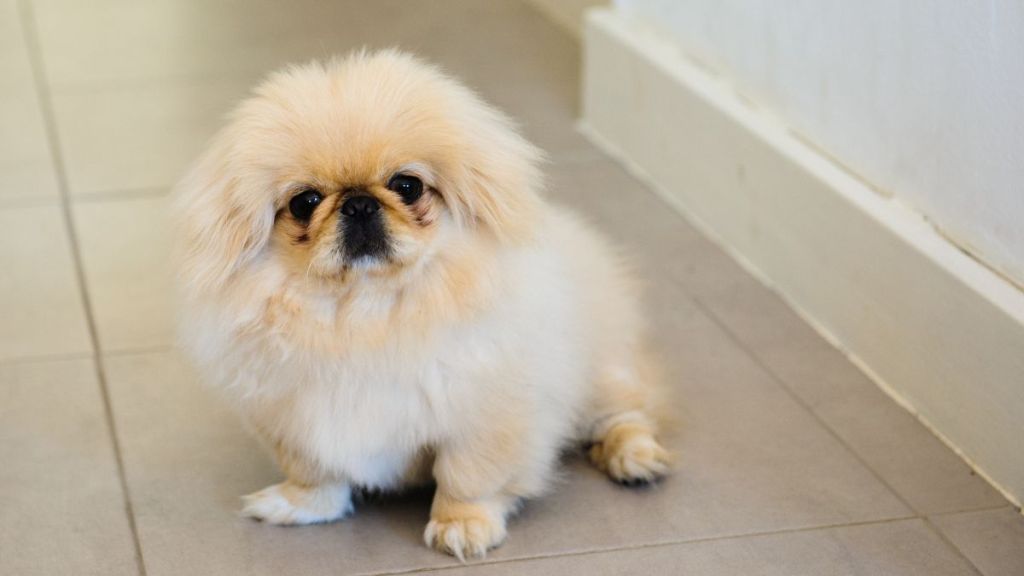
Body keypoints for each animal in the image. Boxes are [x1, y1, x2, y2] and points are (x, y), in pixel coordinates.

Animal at [174, 49, 671, 557]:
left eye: (407, 186)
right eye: (305, 202)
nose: (358, 203)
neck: (363, 316)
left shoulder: (486, 414)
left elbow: (468, 477)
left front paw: (463, 525)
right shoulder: (292, 420)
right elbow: (316, 476)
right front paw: (299, 506)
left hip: (603, 375)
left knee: (627, 413)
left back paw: (634, 457)